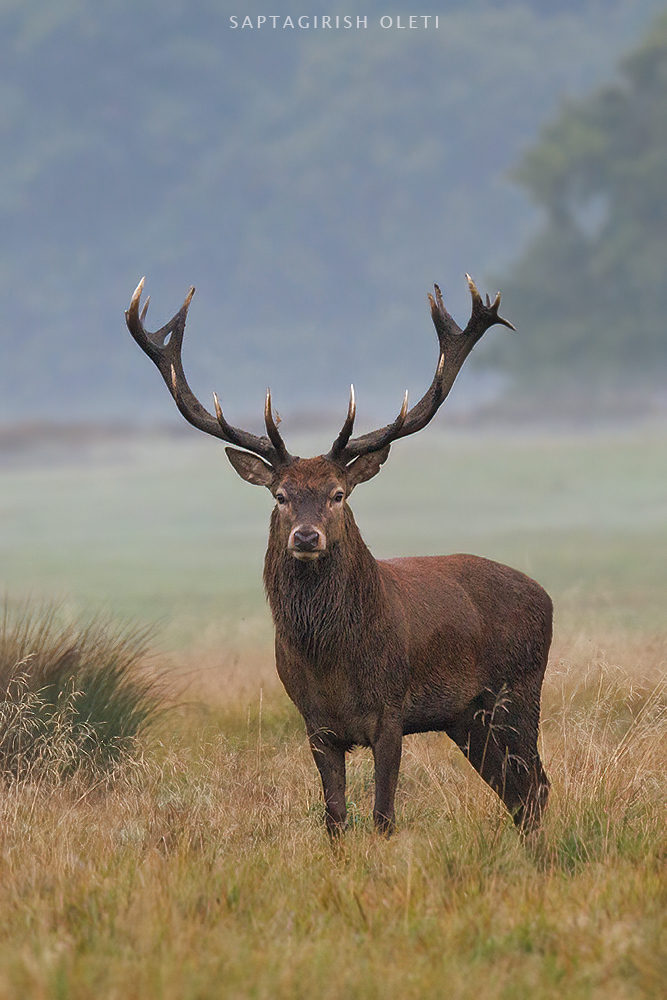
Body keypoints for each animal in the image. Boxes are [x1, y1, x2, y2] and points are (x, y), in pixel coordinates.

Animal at [126, 275, 552, 837]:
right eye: (280, 495)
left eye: (338, 493)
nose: (306, 537)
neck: (332, 664)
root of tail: (546, 598)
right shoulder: (316, 725)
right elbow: (334, 818)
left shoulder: (392, 712)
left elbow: (384, 815)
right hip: (468, 718)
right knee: (518, 792)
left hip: (519, 692)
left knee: (536, 786)